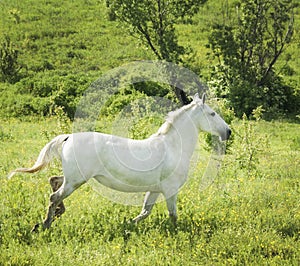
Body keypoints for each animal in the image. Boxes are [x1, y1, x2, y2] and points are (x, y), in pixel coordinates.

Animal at [8, 94, 230, 231]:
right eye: (212, 113)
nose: (228, 132)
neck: (172, 147)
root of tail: (68, 137)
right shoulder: (170, 189)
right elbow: (173, 215)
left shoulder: (155, 189)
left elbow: (145, 212)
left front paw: (127, 226)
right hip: (76, 180)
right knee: (54, 196)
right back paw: (44, 225)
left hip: (74, 177)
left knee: (54, 181)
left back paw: (54, 216)